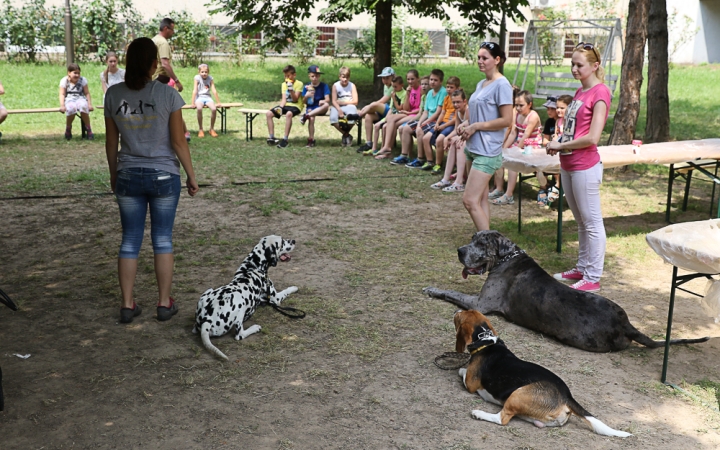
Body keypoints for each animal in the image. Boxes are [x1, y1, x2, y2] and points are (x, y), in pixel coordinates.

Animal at [422, 230, 708, 354]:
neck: (507, 258)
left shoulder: (480, 303)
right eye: (472, 238)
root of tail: (626, 324)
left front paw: (432, 288)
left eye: (481, 243)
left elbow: (450, 292)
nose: (460, 251)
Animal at [456, 310, 632, 436]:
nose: (456, 311)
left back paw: (478, 413)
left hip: (517, 395)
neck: (485, 340)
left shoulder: (470, 384)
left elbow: (462, 371)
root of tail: (567, 396)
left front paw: (460, 369)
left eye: (460, 315)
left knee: (502, 419)